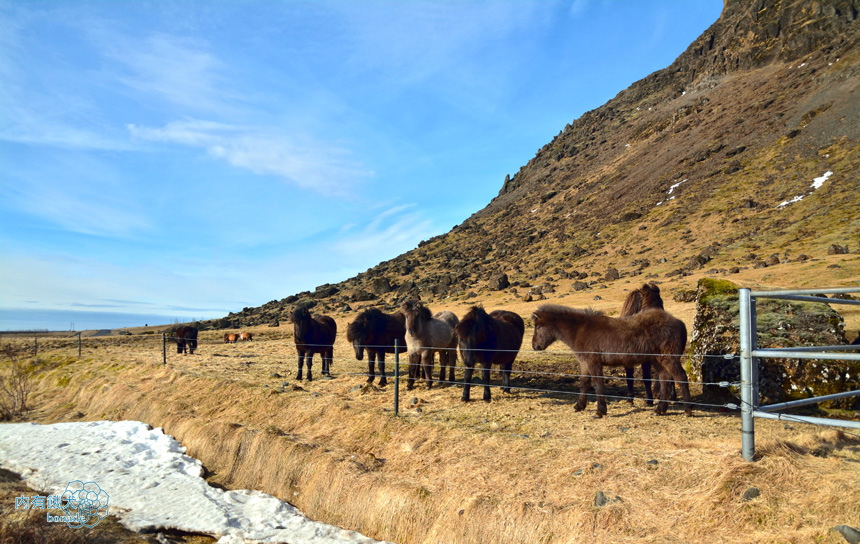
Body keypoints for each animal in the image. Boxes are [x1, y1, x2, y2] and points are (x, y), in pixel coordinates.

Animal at [532, 306, 692, 416]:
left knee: (680, 377)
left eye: (538, 327)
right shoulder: (584, 363)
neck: (579, 330)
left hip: (669, 358)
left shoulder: (593, 362)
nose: (535, 346)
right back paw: (660, 410)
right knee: (665, 380)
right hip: (657, 360)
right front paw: (579, 406)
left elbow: (597, 384)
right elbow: (584, 383)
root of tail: (679, 322)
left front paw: (600, 411)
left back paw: (688, 410)